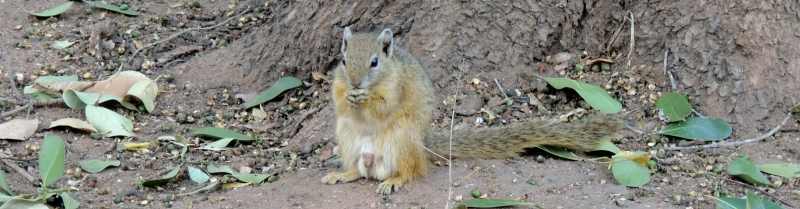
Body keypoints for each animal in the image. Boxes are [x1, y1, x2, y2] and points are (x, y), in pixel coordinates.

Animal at [322, 27, 620, 194]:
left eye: (374, 62)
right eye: (343, 60)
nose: (356, 83)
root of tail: (423, 145)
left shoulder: (396, 87)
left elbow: (385, 105)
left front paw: (366, 98)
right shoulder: (339, 81)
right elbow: (337, 100)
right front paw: (348, 96)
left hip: (402, 139)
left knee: (413, 170)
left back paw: (395, 180)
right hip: (347, 137)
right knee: (359, 171)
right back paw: (342, 174)